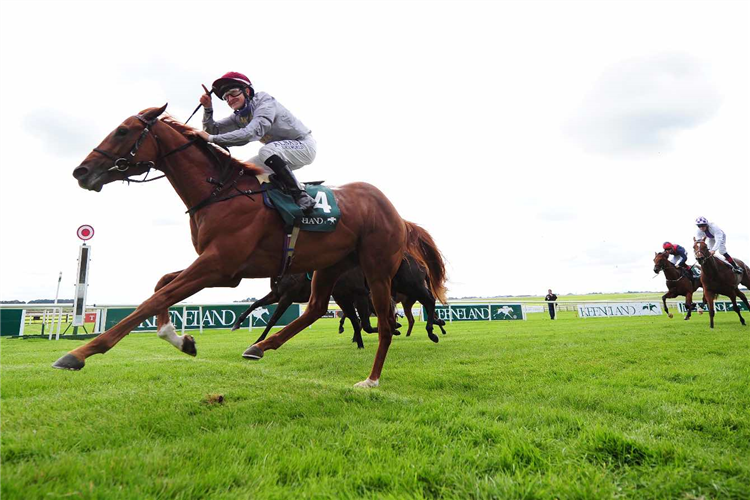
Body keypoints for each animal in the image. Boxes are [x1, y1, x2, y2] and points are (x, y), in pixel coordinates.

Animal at [54, 104, 446, 386]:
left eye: (122, 131)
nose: (81, 172)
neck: (219, 192)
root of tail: (397, 213)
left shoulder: (219, 266)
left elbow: (154, 299)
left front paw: (80, 353)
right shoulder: (221, 268)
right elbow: (161, 284)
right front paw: (180, 338)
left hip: (377, 269)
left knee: (384, 322)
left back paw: (372, 379)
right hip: (329, 265)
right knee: (316, 308)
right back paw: (259, 346)